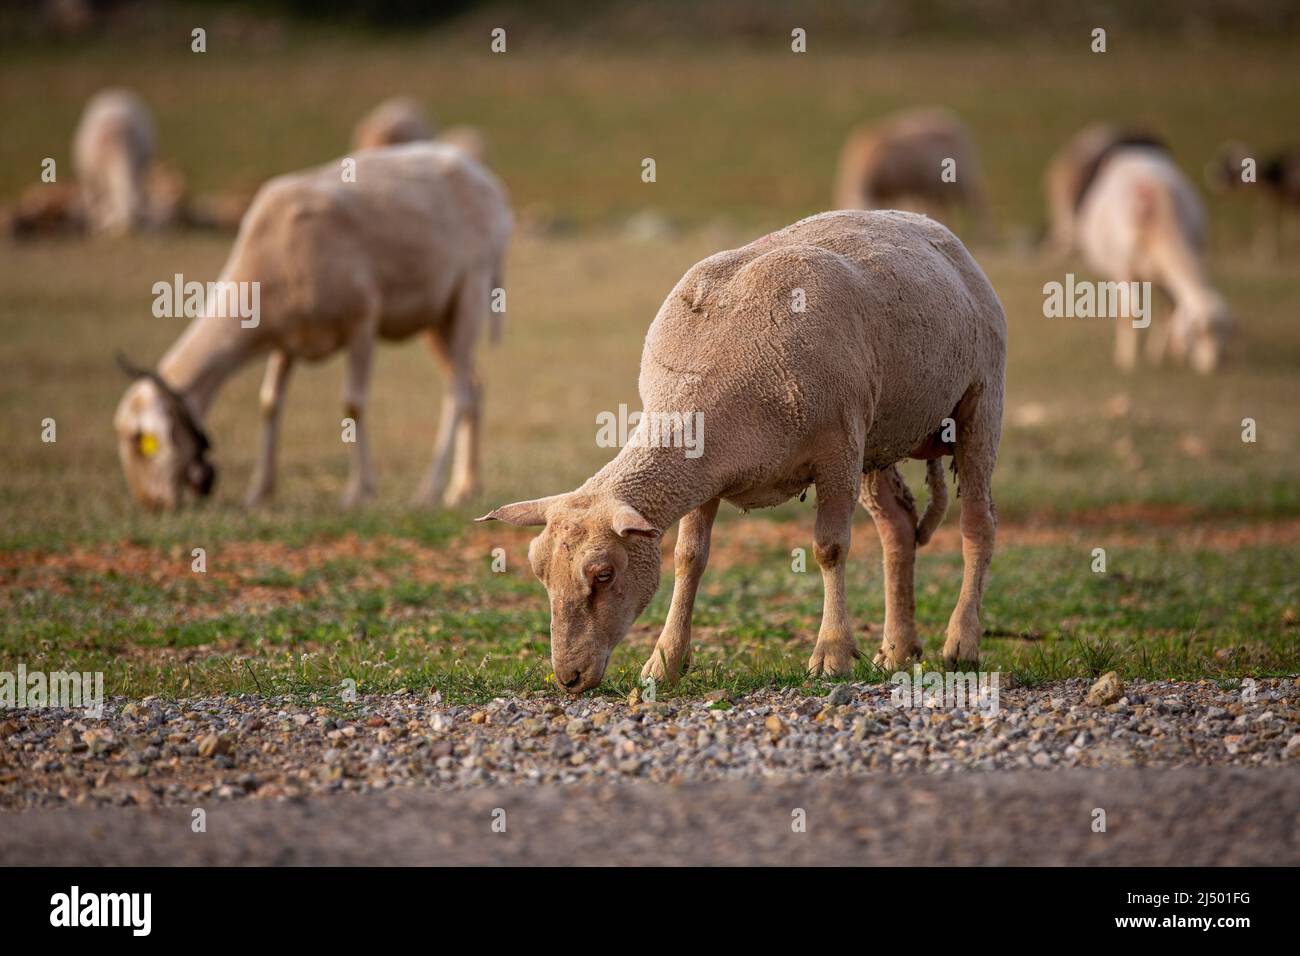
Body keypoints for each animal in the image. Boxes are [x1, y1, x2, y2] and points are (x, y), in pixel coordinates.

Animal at [72, 88, 155, 236]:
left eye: (137, 217)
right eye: (119, 217)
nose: (129, 231)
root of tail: (116, 91)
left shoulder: (139, 170)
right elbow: (100, 204)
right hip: (89, 177)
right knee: (92, 201)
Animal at [113, 142, 512, 510]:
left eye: (140, 441)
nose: (151, 504)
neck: (269, 252)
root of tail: (484, 180)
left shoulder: (362, 319)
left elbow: (353, 404)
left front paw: (358, 492)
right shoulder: (284, 341)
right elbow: (269, 404)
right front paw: (259, 493)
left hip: (471, 290)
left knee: (458, 393)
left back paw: (429, 490)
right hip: (435, 317)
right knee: (475, 385)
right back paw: (464, 486)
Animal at [481, 210, 1006, 694]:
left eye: (604, 574)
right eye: (540, 573)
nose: (568, 678)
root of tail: (924, 221)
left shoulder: (838, 448)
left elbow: (829, 549)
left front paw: (832, 654)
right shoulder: (707, 472)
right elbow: (689, 558)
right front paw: (665, 661)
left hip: (978, 399)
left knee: (978, 525)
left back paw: (962, 643)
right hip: (880, 435)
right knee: (897, 527)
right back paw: (897, 650)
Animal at [833, 108, 989, 237]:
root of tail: (952, 122)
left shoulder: (896, 188)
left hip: (960, 177)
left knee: (979, 200)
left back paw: (983, 232)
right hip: (941, 188)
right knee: (946, 209)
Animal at [1077, 146, 1231, 373]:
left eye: (1220, 333)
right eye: (1198, 333)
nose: (1212, 367)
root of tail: (1134, 151)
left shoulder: (1165, 280)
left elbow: (1166, 314)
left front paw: (1159, 356)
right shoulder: (1125, 272)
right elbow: (1130, 312)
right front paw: (1128, 362)